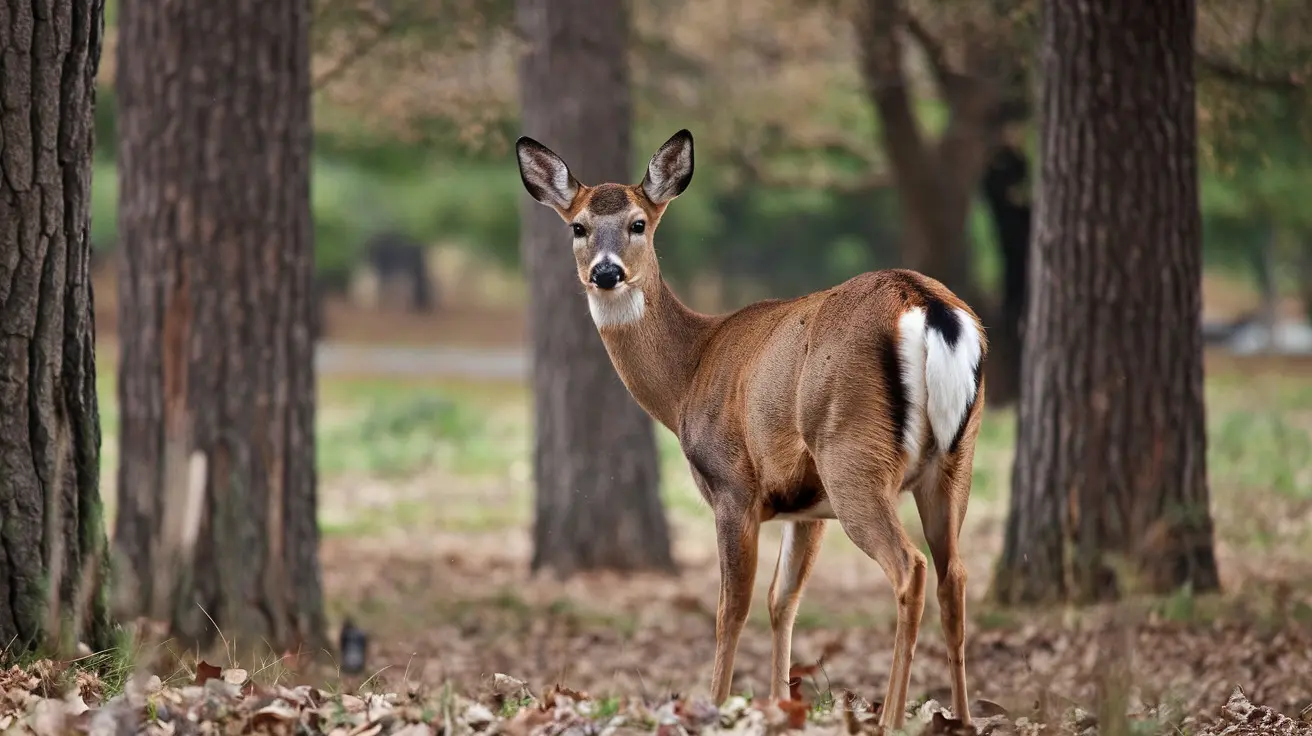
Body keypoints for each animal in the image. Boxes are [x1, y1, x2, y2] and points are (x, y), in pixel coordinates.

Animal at [511, 129, 986, 724]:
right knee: (955, 577)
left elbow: (730, 607)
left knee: (910, 568)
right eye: (577, 225)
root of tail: (925, 305)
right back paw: (963, 720)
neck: (688, 375)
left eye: (639, 223)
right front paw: (781, 704)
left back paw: (890, 721)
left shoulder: (732, 485)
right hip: (953, 462)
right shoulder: (805, 506)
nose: (606, 272)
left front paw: (714, 705)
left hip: (851, 454)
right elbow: (781, 600)